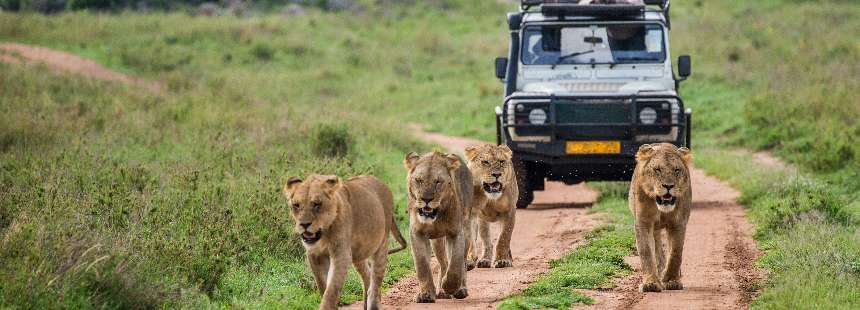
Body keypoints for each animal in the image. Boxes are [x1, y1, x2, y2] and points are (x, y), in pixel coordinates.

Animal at [280, 174, 404, 310]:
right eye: (296, 205)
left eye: (317, 204)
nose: (304, 224)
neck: (324, 234)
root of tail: (381, 182)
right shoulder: (314, 255)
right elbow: (323, 287)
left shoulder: (341, 255)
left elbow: (331, 290)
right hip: (358, 254)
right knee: (367, 276)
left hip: (381, 245)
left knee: (375, 284)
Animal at [404, 152, 474, 302]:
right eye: (419, 180)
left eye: (438, 182)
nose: (426, 199)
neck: (436, 217)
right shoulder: (417, 233)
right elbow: (422, 265)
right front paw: (426, 294)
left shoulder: (456, 233)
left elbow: (456, 264)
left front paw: (450, 286)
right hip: (437, 241)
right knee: (443, 263)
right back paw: (442, 292)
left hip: (466, 231)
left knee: (462, 262)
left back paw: (459, 289)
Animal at [628, 143, 696, 294]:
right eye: (657, 169)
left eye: (677, 170)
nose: (668, 186)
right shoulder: (643, 222)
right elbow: (646, 251)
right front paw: (651, 283)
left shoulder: (678, 223)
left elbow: (676, 252)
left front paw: (671, 280)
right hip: (655, 228)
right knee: (657, 248)